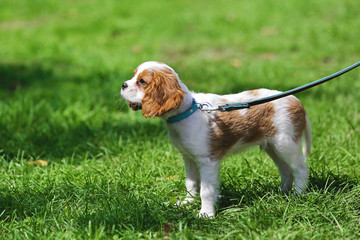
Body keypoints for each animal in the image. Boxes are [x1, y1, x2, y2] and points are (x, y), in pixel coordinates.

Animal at [119, 61, 310, 218]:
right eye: (133, 75)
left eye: (142, 81)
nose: (123, 85)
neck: (188, 111)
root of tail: (296, 100)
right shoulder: (188, 158)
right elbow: (191, 183)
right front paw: (188, 202)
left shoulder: (207, 161)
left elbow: (206, 190)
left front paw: (206, 214)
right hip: (273, 147)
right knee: (286, 170)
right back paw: (282, 193)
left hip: (286, 143)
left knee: (300, 168)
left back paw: (298, 195)